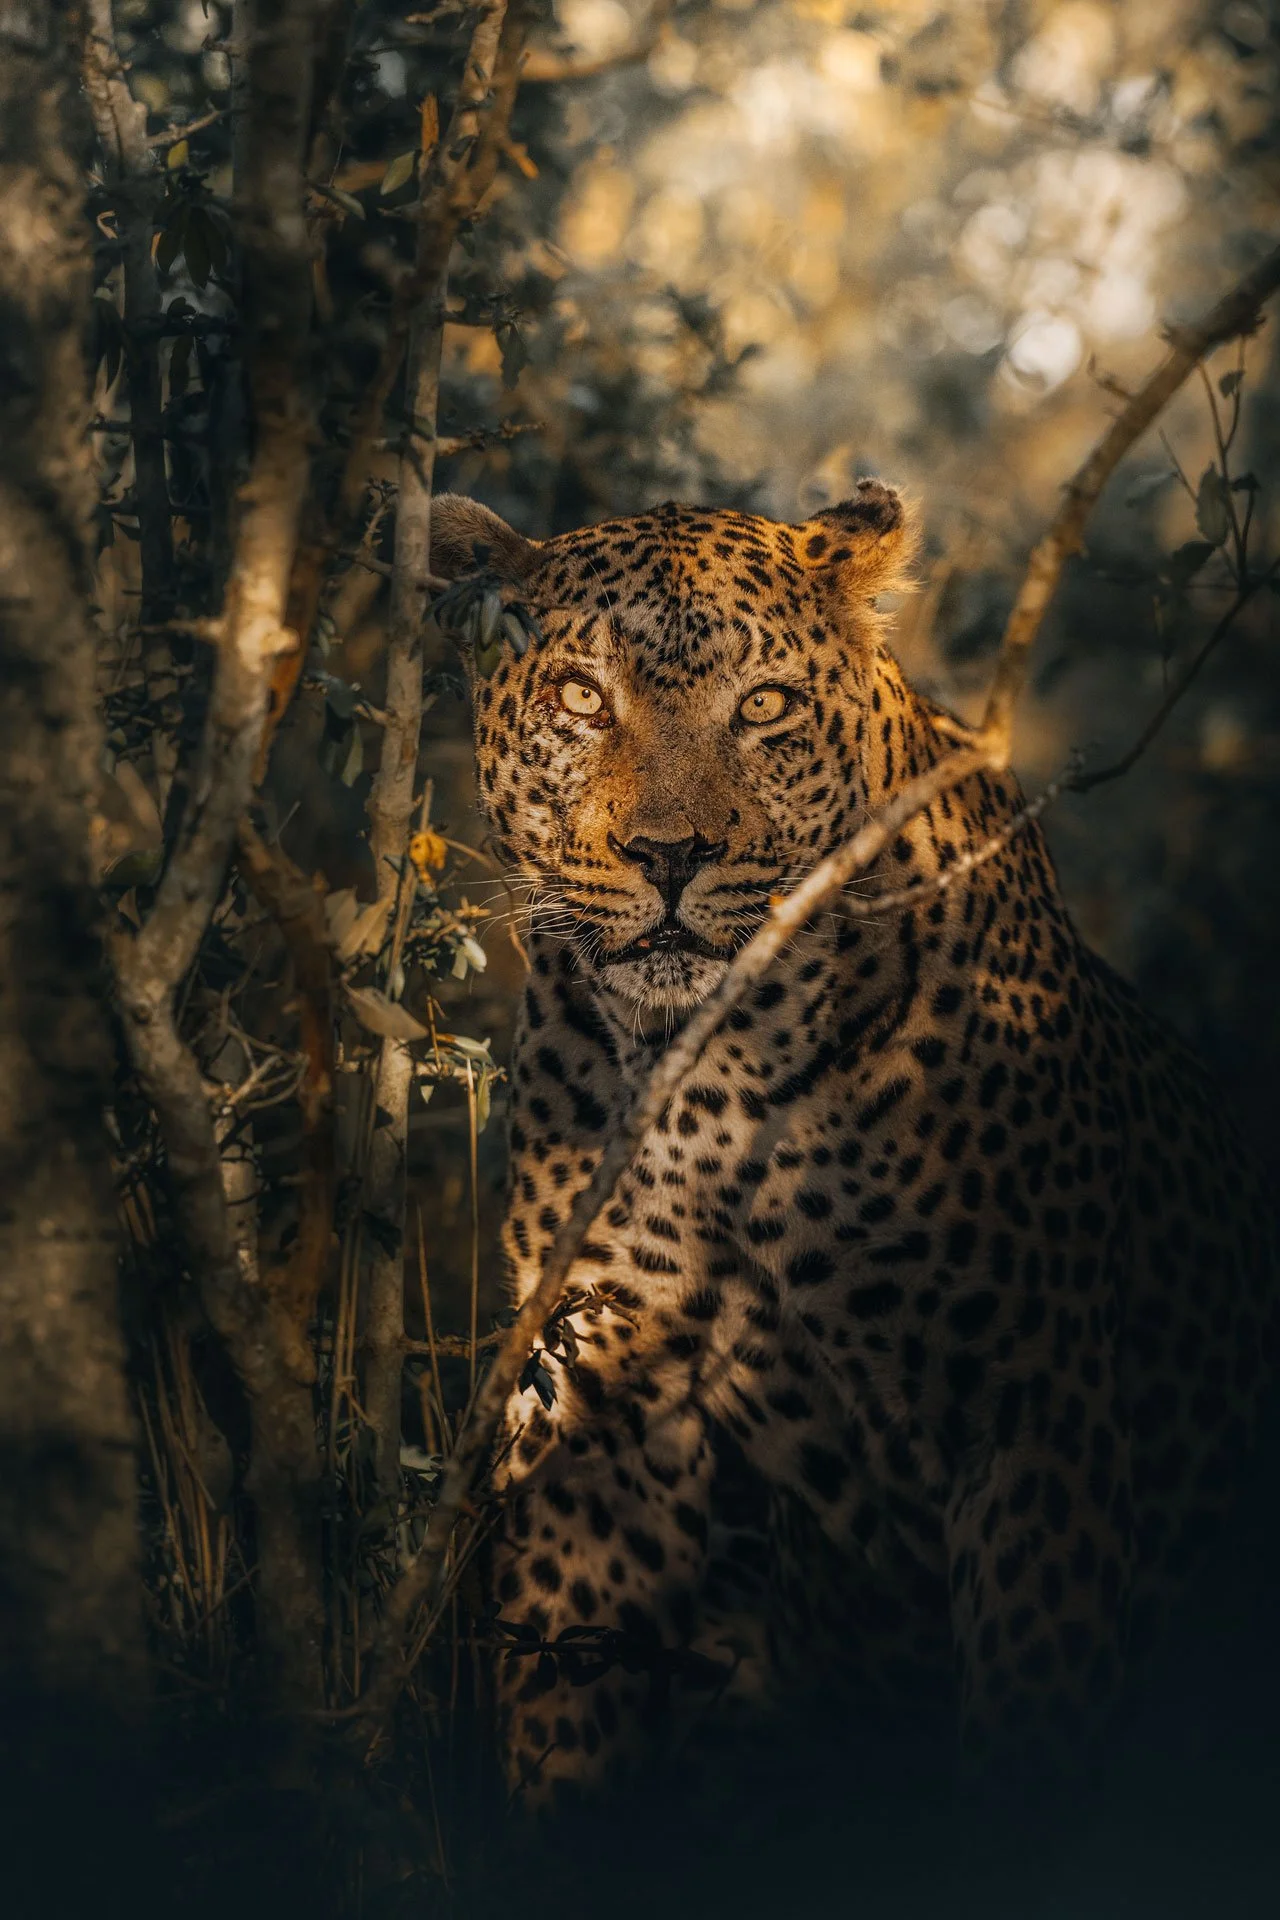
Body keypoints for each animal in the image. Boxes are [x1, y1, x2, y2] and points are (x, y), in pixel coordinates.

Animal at [430, 482, 1277, 1813]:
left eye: (764, 705)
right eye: (579, 697)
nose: (669, 856)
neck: (712, 1079)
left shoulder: (1033, 1417)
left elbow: (1028, 1732)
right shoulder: (599, 1412)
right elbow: (567, 1715)